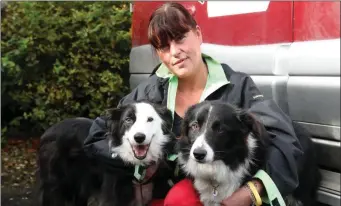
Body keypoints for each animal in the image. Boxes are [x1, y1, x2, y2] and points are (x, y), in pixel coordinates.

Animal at [37, 100, 175, 205]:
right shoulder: (111, 196)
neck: (135, 163)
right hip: (55, 187)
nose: (139, 137)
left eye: (150, 119)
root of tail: (46, 133)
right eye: (128, 120)